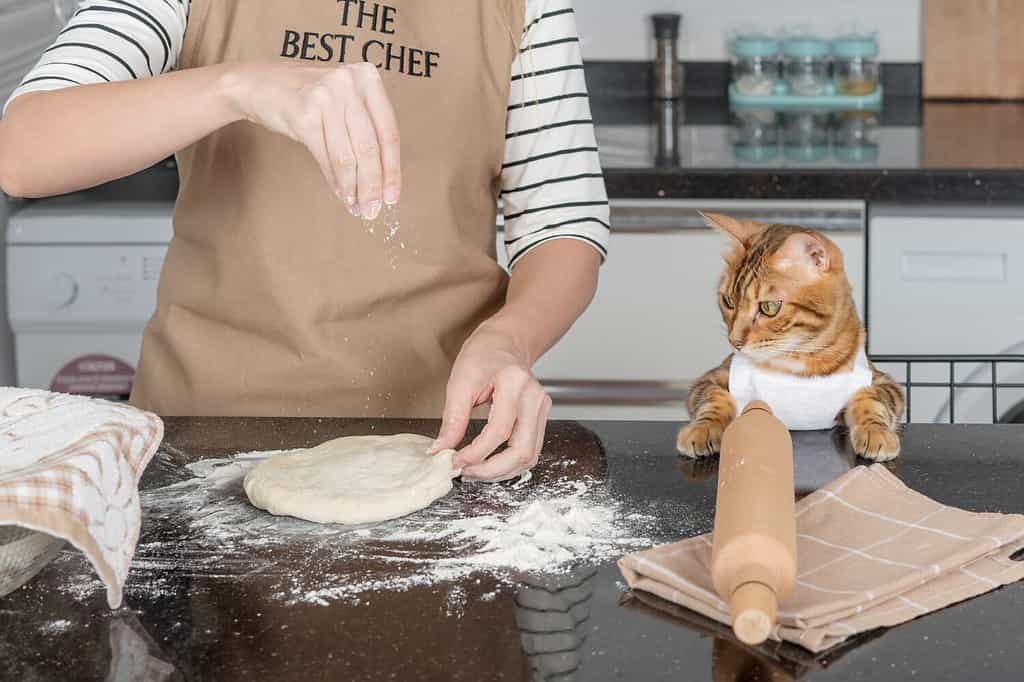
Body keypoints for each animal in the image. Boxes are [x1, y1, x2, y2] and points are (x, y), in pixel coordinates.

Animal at [679, 209, 905, 458]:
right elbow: (712, 397)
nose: (734, 341)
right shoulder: (715, 376)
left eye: (769, 307)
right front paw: (703, 429)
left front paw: (876, 431)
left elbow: (872, 397)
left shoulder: (882, 381)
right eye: (728, 301)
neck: (800, 357)